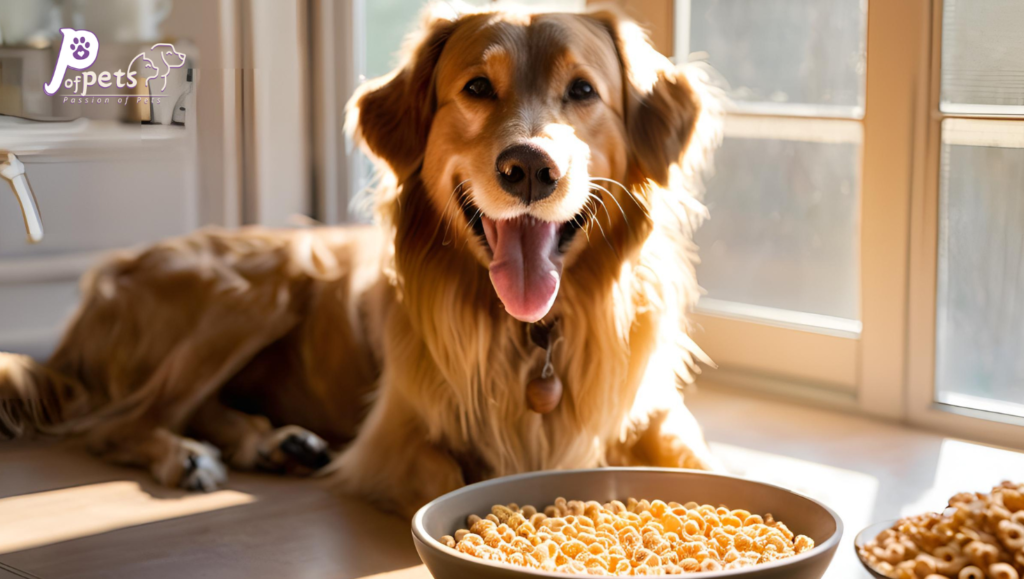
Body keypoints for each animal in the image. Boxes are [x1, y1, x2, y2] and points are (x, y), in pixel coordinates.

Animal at [0, 0, 720, 514]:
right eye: (477, 87)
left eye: (583, 91)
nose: (529, 169)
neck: (532, 334)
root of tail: (106, 277)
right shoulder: (393, 442)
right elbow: (451, 481)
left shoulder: (659, 416)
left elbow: (708, 471)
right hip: (261, 284)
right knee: (120, 421)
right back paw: (187, 454)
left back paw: (274, 440)